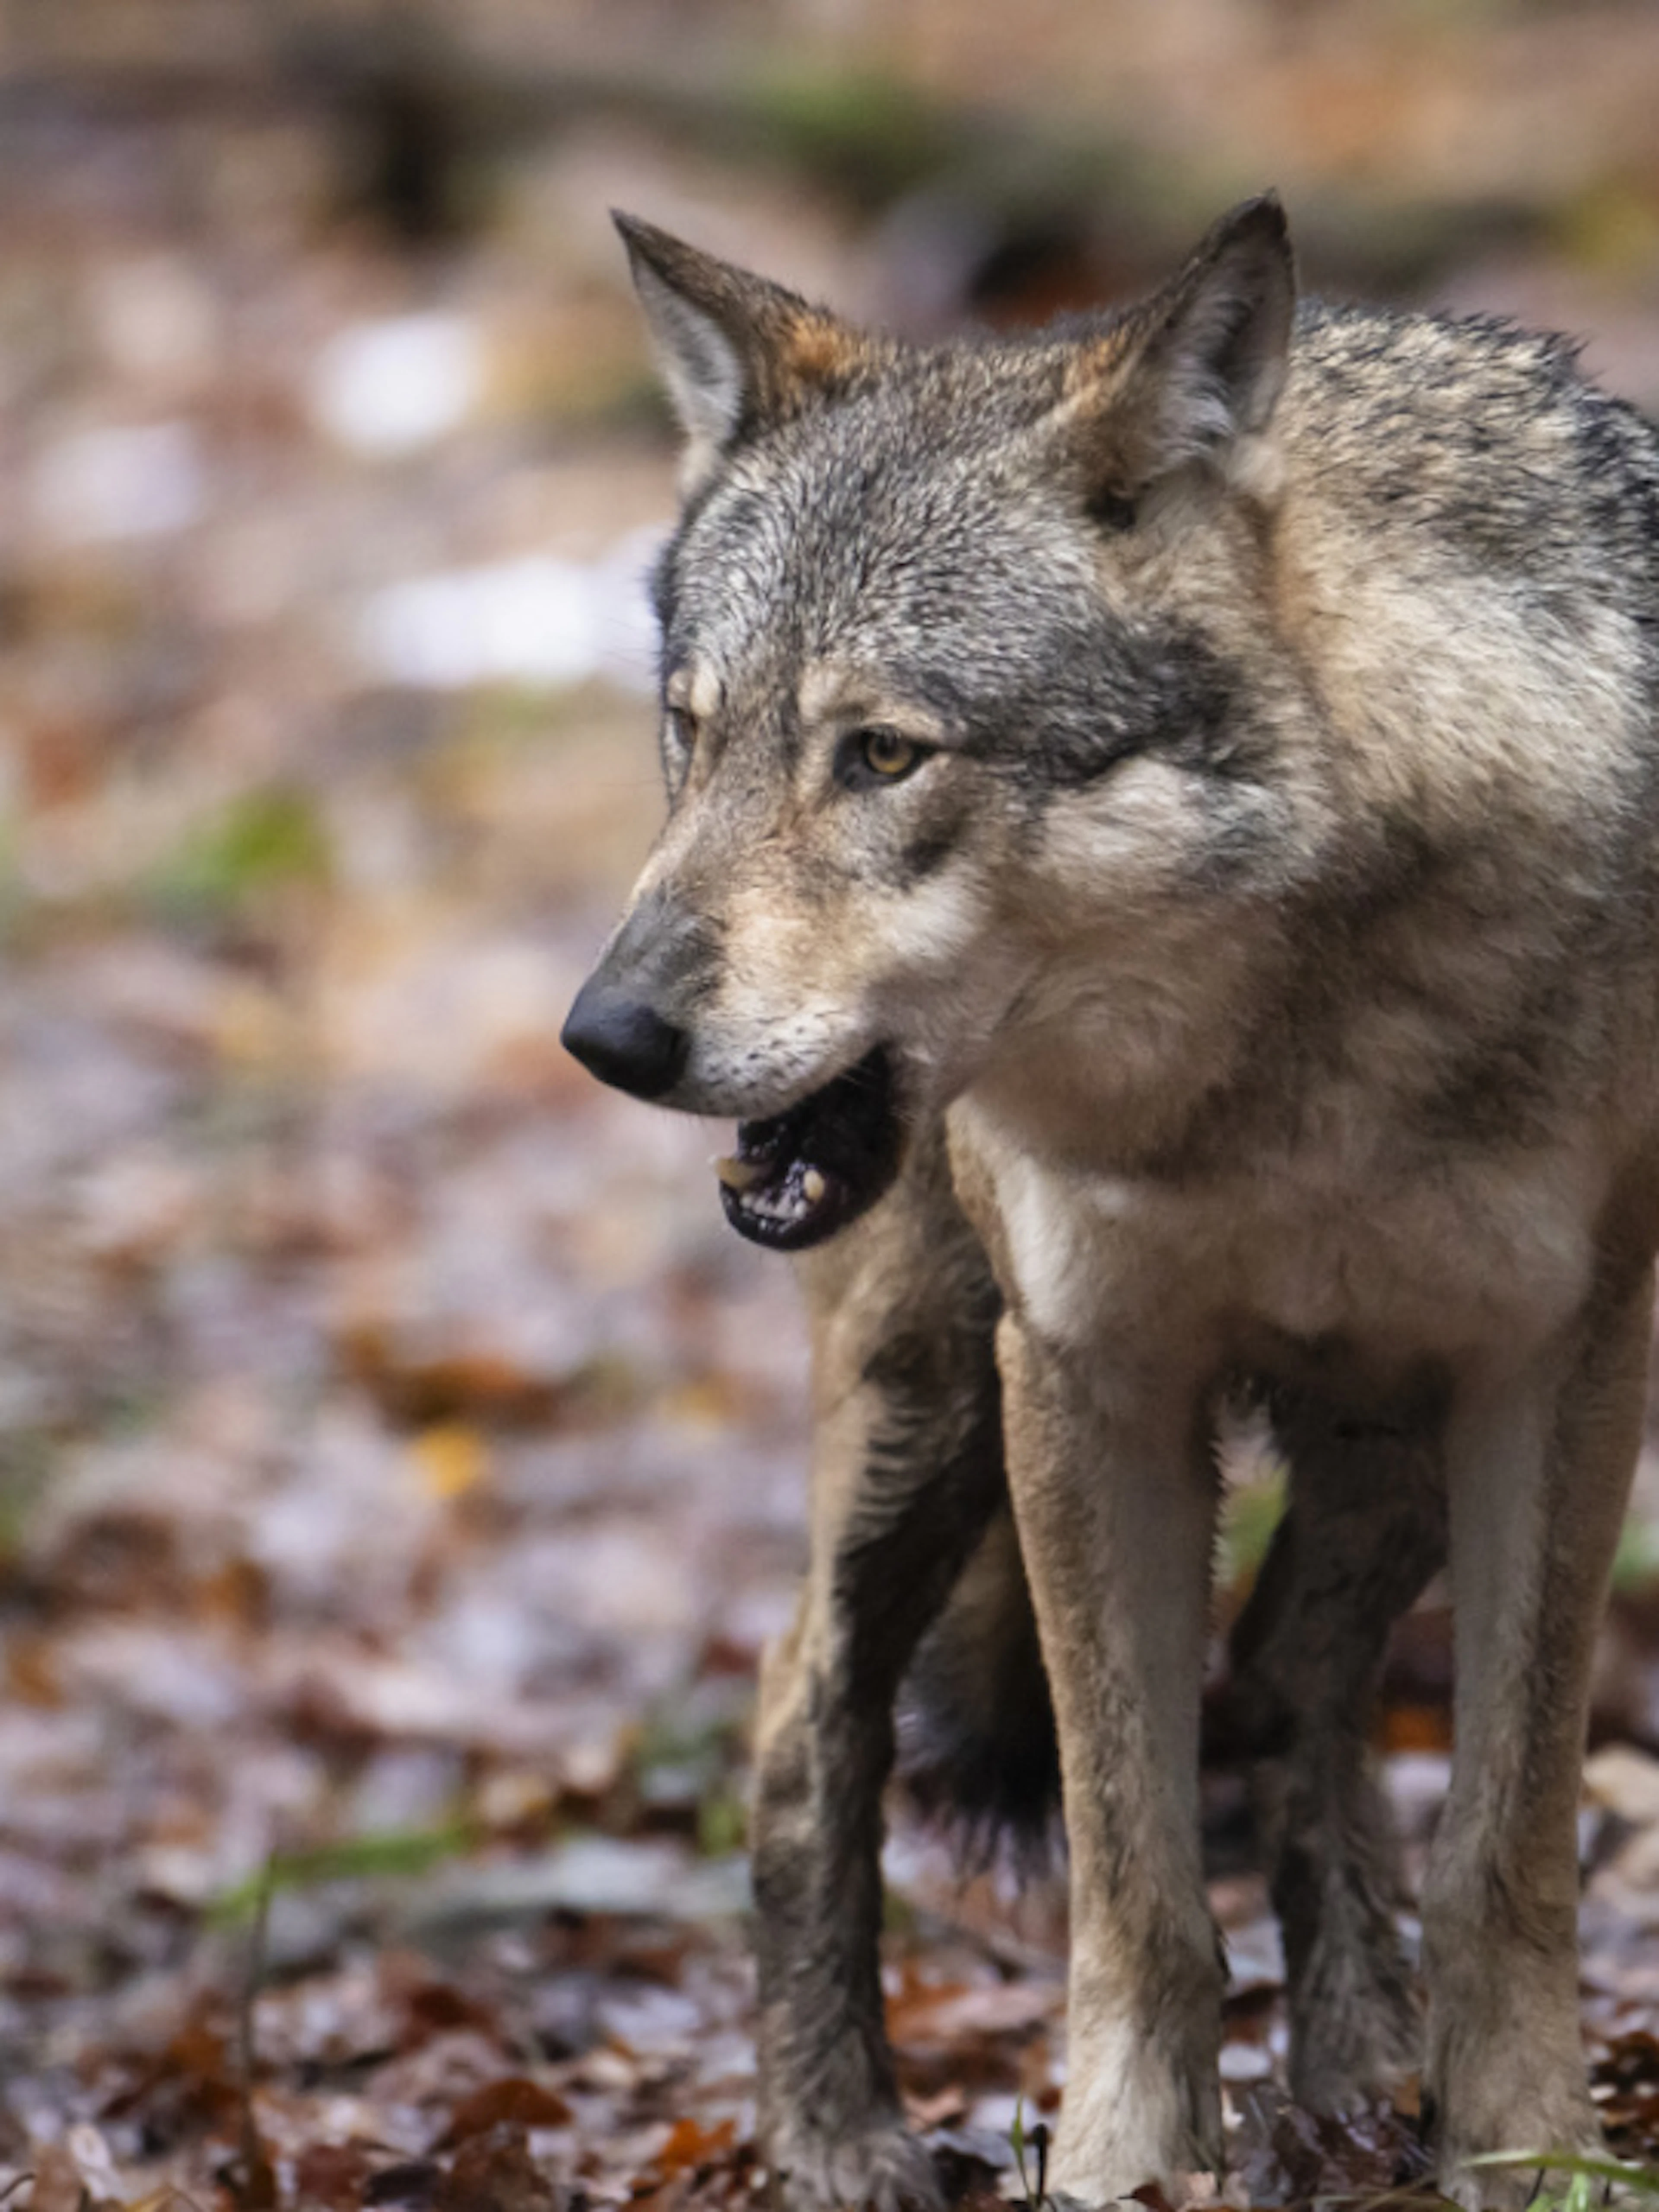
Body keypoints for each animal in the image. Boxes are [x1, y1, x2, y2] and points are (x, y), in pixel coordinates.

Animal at [562, 193, 1659, 2210]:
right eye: (691, 732)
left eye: (883, 752)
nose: (606, 1035)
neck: (1284, 1062)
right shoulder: (1084, 1378)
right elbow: (1134, 1877)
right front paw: (1122, 2168)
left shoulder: (1557, 1371)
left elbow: (1507, 1837)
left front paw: (1530, 2149)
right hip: (926, 1408)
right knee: (798, 1717)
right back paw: (837, 2138)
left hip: (1382, 1449)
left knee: (1288, 1679)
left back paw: (1358, 2063)